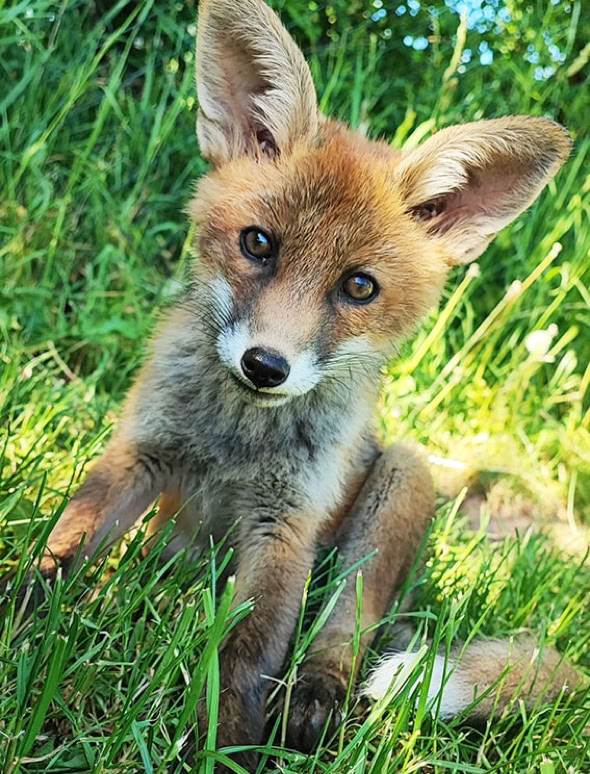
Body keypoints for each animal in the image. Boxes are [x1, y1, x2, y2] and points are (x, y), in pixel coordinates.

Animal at [11, 0, 585, 770]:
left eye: (359, 287)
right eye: (258, 244)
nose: (265, 365)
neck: (236, 439)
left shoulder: (286, 525)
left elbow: (247, 654)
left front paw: (225, 750)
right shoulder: (140, 453)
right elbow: (56, 554)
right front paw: (16, 617)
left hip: (402, 479)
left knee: (345, 635)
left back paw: (317, 703)